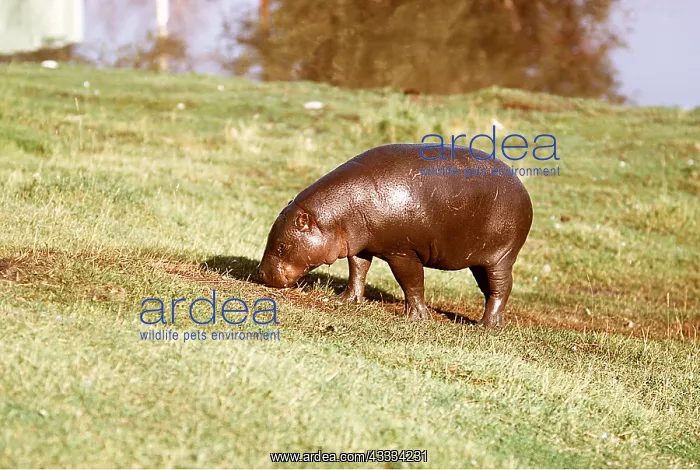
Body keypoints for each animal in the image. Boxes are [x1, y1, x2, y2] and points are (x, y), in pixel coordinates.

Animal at [259, 144, 533, 327]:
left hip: (501, 256)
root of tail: (522, 187)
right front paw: (346, 300)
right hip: (479, 259)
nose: (260, 273)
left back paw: (485, 326)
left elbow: (411, 282)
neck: (336, 214)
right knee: (489, 288)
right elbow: (357, 270)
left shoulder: (402, 252)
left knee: (501, 287)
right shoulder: (360, 245)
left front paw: (416, 317)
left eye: (281, 246)